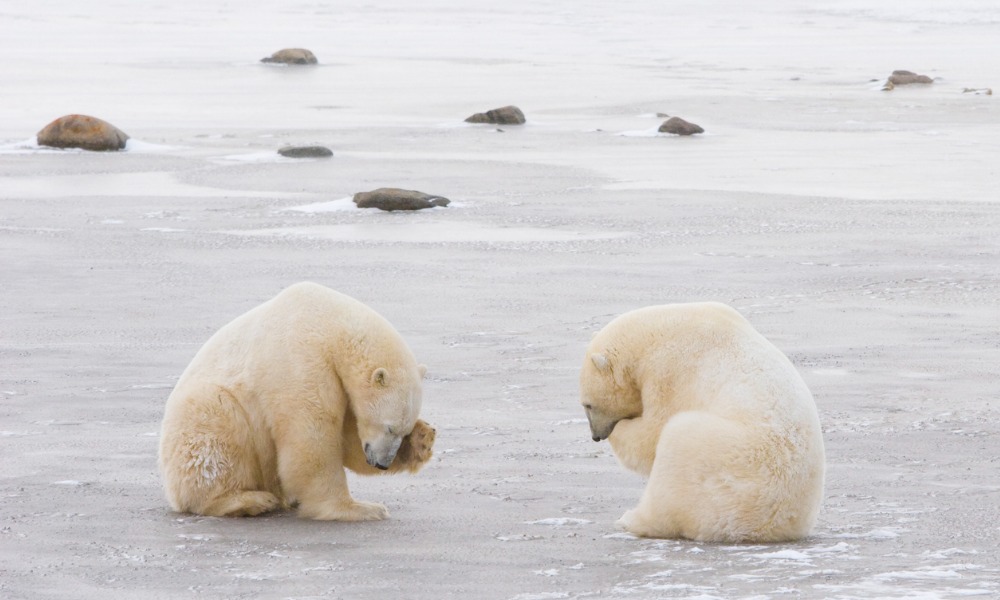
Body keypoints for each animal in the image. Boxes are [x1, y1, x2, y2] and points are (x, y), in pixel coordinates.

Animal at [159, 282, 434, 520]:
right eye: (389, 427)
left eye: (403, 430)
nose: (382, 463)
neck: (327, 323)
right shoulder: (301, 360)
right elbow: (312, 436)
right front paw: (362, 508)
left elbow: (346, 436)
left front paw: (422, 438)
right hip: (209, 411)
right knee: (216, 438)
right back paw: (249, 501)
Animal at [584, 302, 824, 540]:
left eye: (588, 405)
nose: (596, 436)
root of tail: (767, 527)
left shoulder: (668, 371)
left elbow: (651, 436)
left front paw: (620, 430)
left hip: (724, 465)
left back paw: (630, 519)